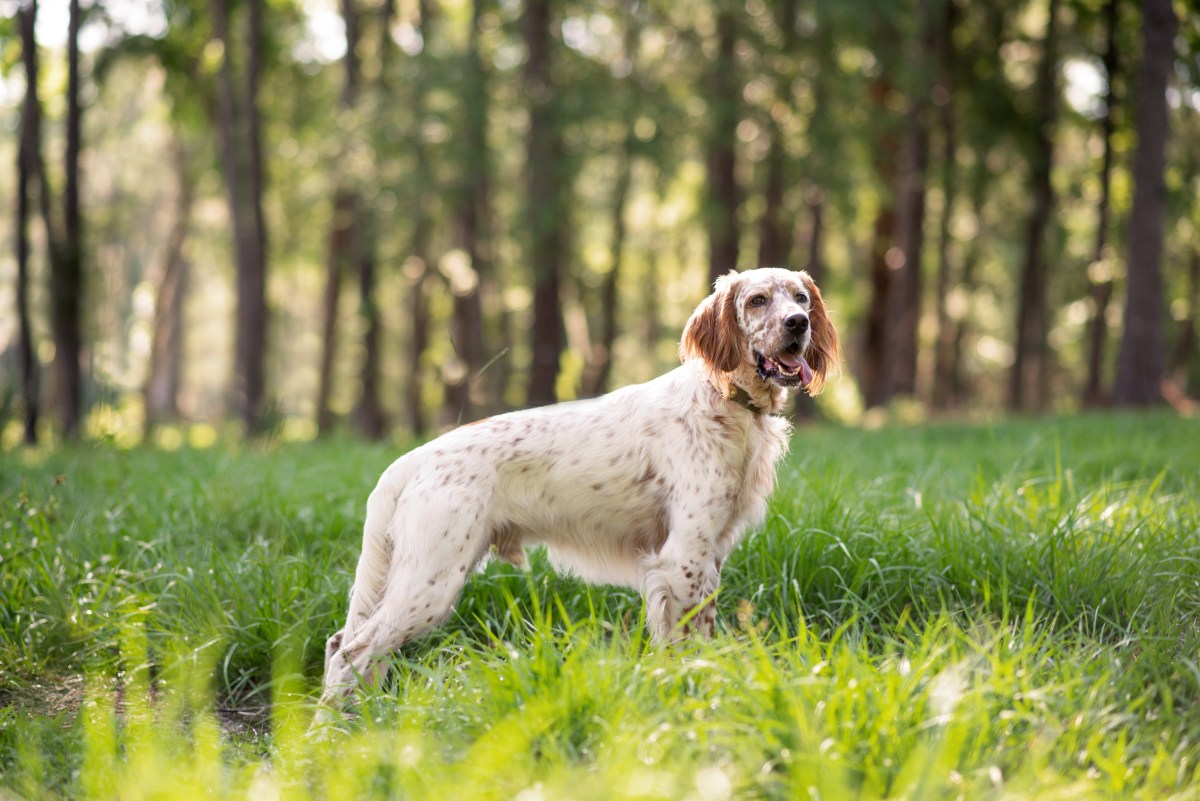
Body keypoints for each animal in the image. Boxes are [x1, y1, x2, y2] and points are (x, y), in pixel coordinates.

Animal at [319, 267, 844, 719]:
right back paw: (327, 734)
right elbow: (687, 646)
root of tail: (415, 458)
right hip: (431, 582)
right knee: (351, 652)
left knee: (345, 645)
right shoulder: (684, 558)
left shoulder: (708, 557)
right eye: (757, 300)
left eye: (800, 298)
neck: (724, 403)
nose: (798, 324)